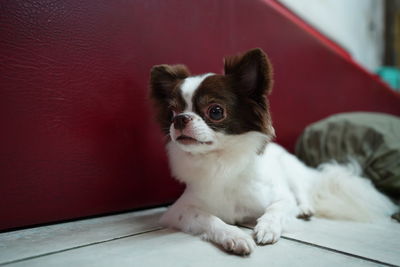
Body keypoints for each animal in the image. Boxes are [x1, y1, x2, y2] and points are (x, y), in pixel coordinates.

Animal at [148, 47, 396, 255]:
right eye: (172, 112)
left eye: (215, 111)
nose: (179, 119)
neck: (222, 161)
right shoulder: (179, 211)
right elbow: (210, 218)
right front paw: (235, 236)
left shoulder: (281, 197)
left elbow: (276, 209)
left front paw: (267, 228)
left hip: (292, 171)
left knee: (302, 192)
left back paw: (304, 209)